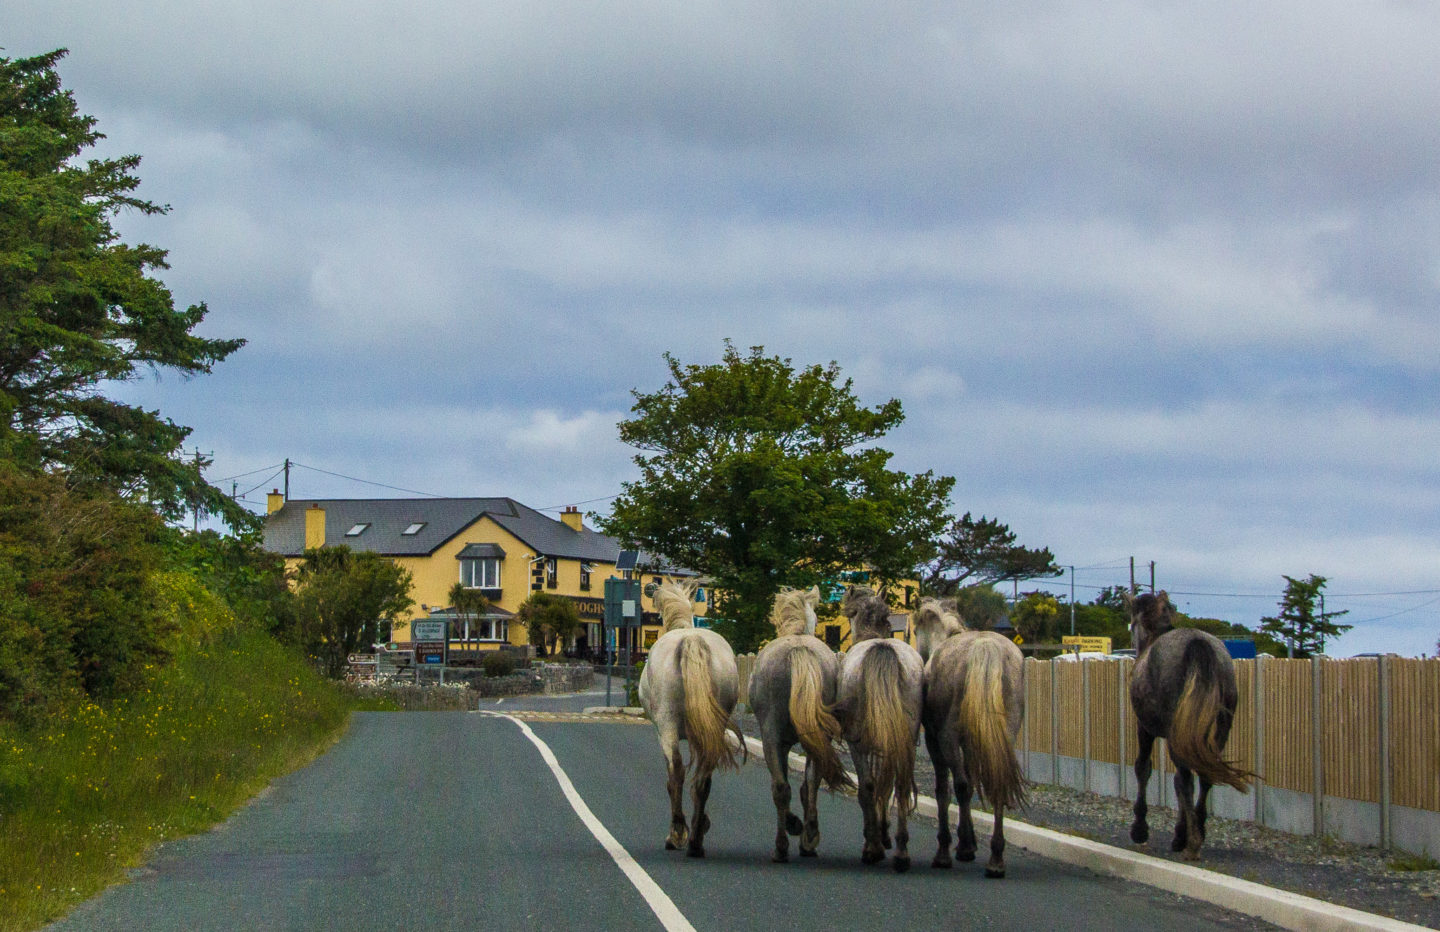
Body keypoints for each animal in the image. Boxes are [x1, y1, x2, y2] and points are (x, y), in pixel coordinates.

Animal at [639, 581, 743, 858]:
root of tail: (691, 640)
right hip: (712, 727)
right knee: (703, 778)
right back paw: (696, 839)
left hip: (667, 726)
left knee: (676, 772)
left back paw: (677, 834)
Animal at [748, 587, 846, 864]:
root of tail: (798, 650)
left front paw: (794, 826)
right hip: (817, 737)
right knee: (810, 783)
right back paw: (807, 837)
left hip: (771, 736)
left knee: (782, 788)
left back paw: (785, 844)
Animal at [835, 587, 921, 870]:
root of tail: (881, 649)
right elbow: (887, 783)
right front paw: (883, 834)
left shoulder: (860, 743)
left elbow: (872, 786)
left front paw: (876, 839)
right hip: (907, 737)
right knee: (901, 786)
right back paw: (902, 852)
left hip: (859, 742)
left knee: (869, 786)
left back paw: (873, 848)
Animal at [910, 602, 1025, 881]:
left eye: (916, 630)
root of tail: (986, 648)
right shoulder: (974, 743)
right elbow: (972, 782)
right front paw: (968, 843)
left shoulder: (935, 741)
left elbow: (946, 789)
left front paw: (958, 846)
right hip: (1003, 736)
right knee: (996, 784)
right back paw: (996, 859)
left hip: (948, 739)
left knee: (959, 786)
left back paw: (946, 854)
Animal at [1123, 593, 1249, 864]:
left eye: (1132, 623)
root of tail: (1198, 643)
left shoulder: (1144, 728)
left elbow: (1143, 768)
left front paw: (1140, 829)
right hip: (1219, 728)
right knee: (1205, 775)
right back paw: (1196, 830)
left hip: (1174, 732)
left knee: (1185, 779)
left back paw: (1189, 841)